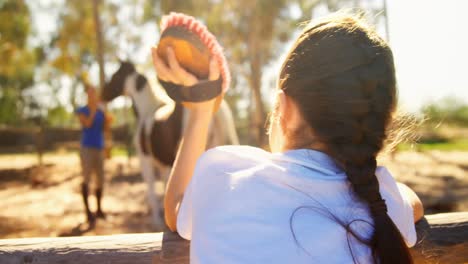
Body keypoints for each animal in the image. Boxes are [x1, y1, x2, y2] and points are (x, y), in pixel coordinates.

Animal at [103, 61, 239, 227]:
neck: (147, 110)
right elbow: (163, 186)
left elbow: (152, 190)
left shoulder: (145, 160)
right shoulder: (164, 165)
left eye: (115, 76)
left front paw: (157, 221)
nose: (102, 95)